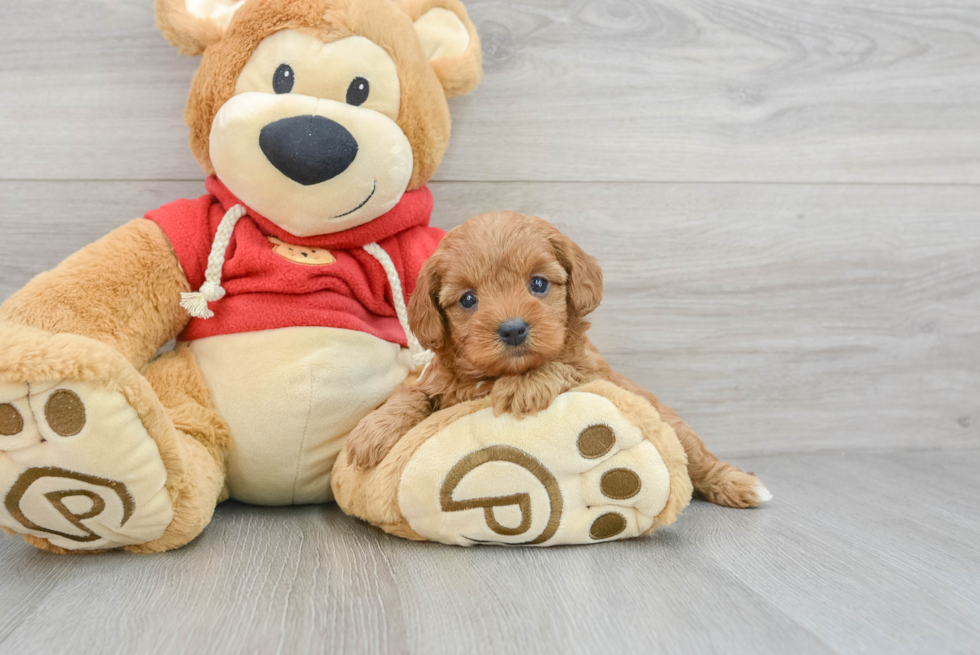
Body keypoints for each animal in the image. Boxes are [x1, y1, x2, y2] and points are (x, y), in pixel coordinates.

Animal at [348, 210, 768, 508]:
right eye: (467, 299)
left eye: (538, 283)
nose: (513, 329)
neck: (494, 374)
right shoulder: (438, 382)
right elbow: (411, 394)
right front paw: (372, 432)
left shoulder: (590, 371)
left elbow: (560, 365)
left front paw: (523, 386)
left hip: (676, 429)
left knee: (699, 460)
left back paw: (741, 484)